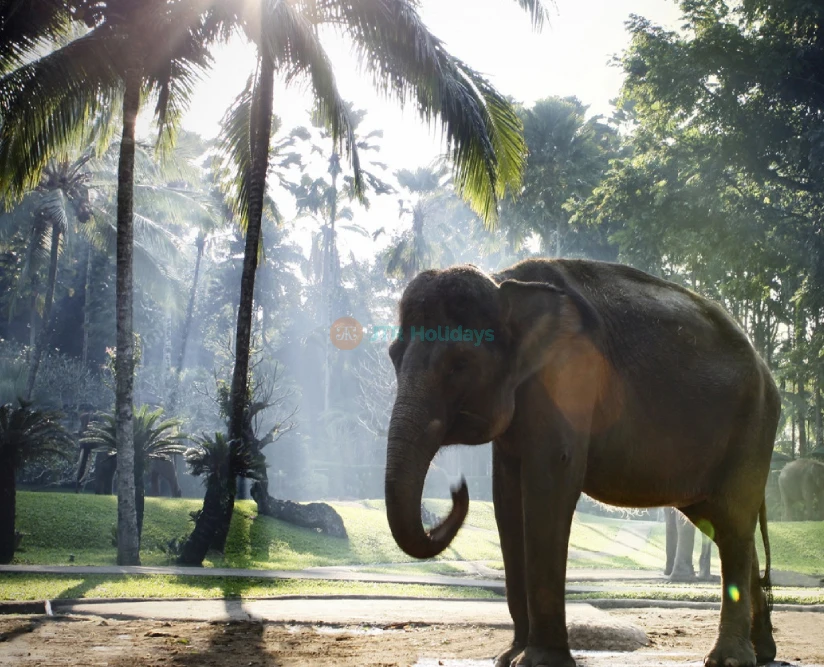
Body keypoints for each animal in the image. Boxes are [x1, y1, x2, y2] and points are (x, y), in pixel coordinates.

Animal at [383, 259, 779, 667]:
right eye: (393, 355)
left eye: (459, 364)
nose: (457, 488)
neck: (506, 282)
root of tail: (765, 368)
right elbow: (506, 500)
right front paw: (509, 657)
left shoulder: (568, 376)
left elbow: (550, 483)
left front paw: (538, 661)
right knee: (723, 524)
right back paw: (763, 652)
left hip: (753, 429)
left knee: (733, 522)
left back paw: (730, 659)